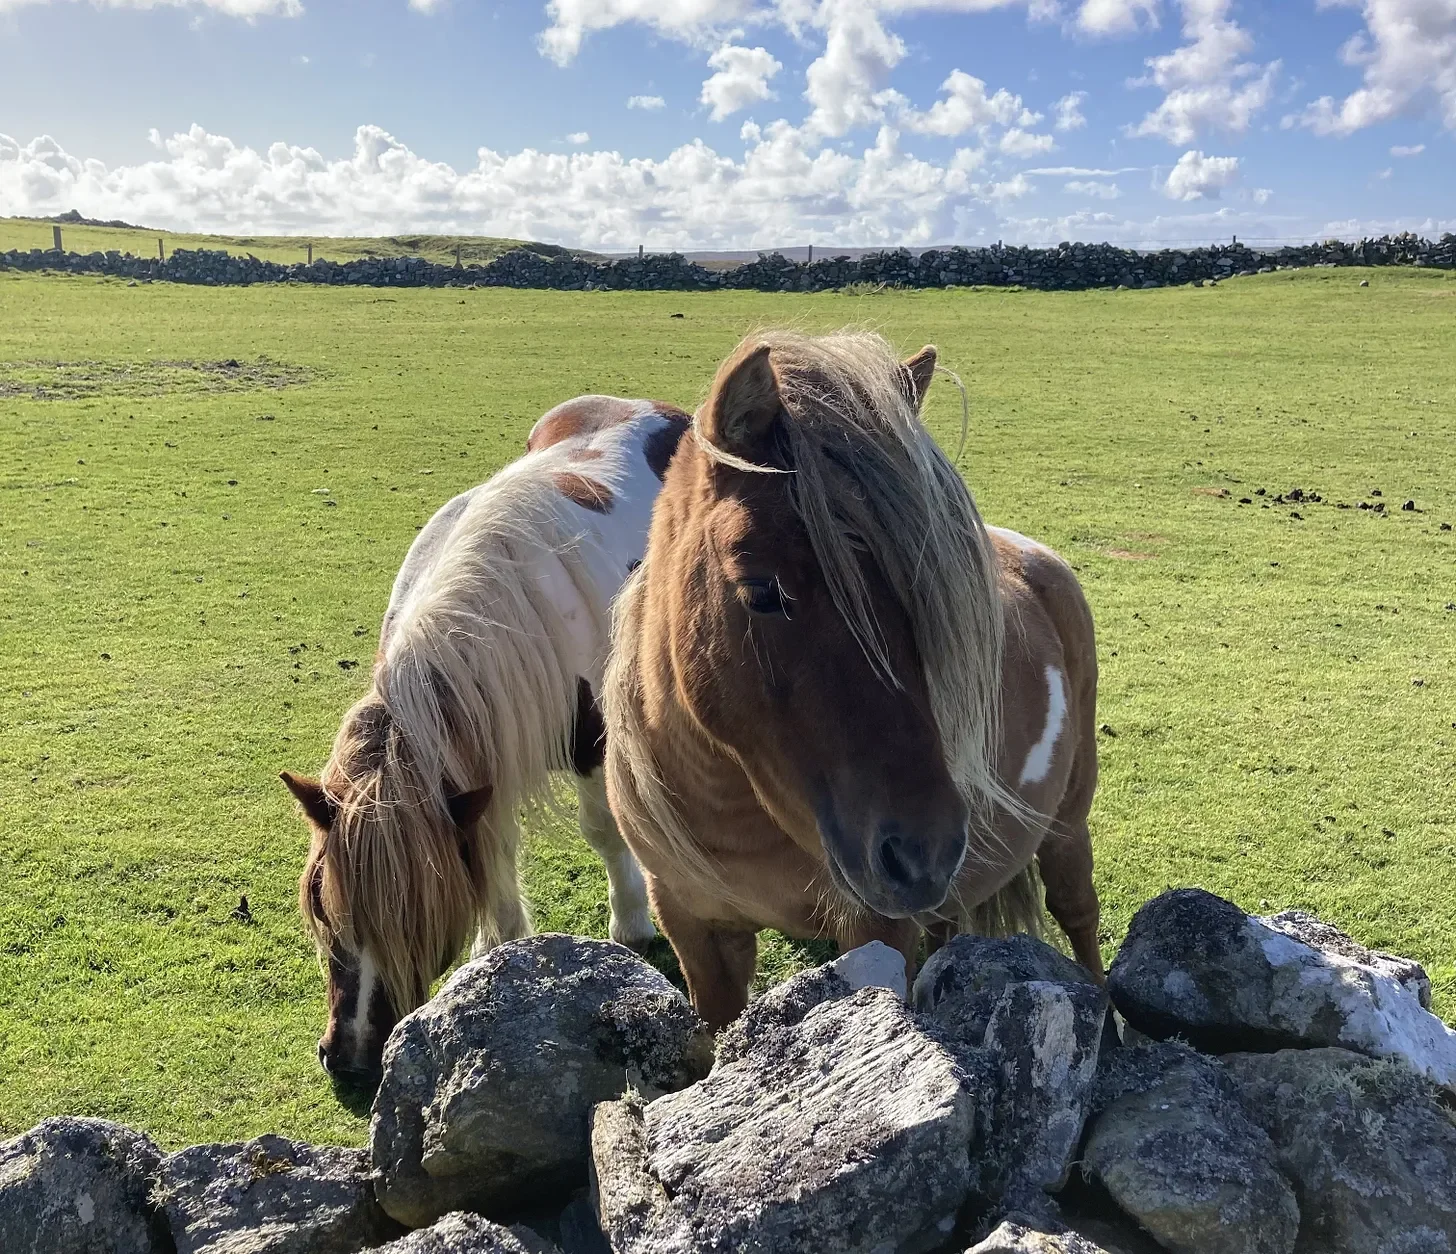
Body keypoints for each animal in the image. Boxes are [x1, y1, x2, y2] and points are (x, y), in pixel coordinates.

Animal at [281, 394, 690, 1082]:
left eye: (418, 914)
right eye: (320, 902)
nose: (350, 1058)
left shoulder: (589, 739)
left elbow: (603, 831)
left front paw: (631, 924)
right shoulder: (478, 762)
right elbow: (493, 853)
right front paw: (497, 953)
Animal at [602, 331, 1103, 1029]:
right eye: (763, 591)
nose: (924, 855)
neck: (732, 813)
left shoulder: (873, 930)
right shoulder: (691, 925)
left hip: (1066, 826)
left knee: (1079, 916)